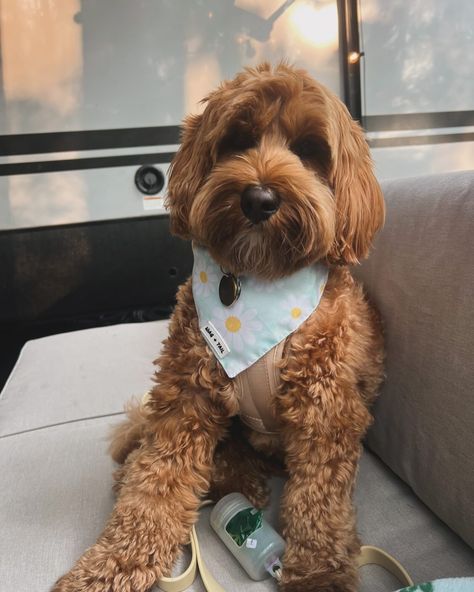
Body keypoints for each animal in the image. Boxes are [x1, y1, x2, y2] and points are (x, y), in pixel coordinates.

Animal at [52, 63, 386, 592]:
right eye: (237, 140)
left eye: (310, 149)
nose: (260, 198)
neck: (259, 282)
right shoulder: (185, 396)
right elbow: (154, 484)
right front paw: (110, 566)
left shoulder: (326, 411)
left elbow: (319, 505)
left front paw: (318, 575)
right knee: (158, 458)